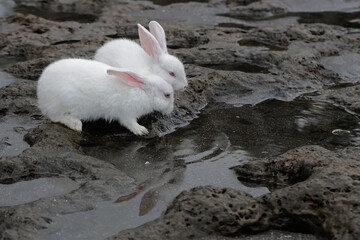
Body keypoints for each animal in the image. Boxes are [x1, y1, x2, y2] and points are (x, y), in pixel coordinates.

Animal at [37, 58, 175, 135]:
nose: (171, 110)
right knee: (55, 117)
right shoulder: (127, 113)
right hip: (65, 102)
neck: (143, 92)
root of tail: (41, 92)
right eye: (167, 95)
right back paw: (76, 125)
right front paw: (141, 130)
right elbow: (130, 123)